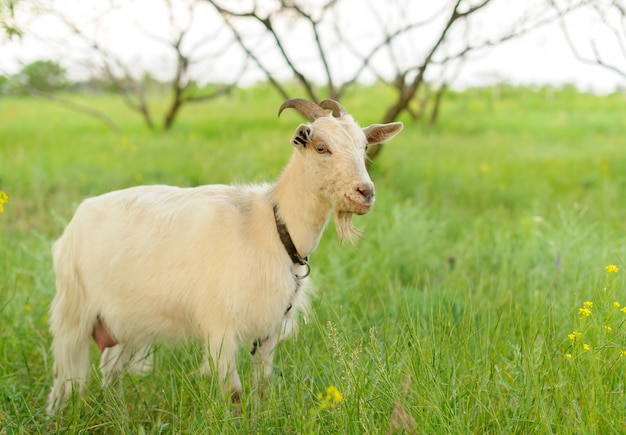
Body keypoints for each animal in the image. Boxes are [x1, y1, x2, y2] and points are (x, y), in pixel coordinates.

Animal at [46, 97, 402, 414]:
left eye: (364, 147)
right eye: (321, 147)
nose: (365, 193)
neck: (270, 225)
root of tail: (76, 219)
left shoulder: (270, 326)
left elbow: (263, 387)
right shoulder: (219, 326)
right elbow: (234, 394)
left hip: (126, 322)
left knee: (110, 370)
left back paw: (118, 414)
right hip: (73, 309)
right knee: (65, 379)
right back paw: (56, 416)